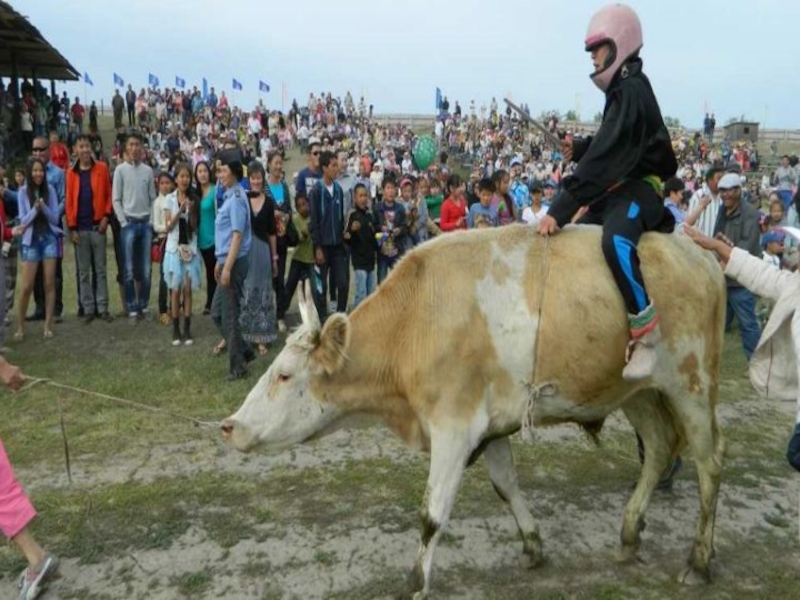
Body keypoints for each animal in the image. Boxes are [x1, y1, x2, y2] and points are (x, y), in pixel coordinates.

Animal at [221, 225, 726, 598]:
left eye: (284, 375)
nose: (229, 426)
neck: (414, 321)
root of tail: (698, 255)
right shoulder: (491, 426)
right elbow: (506, 485)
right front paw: (532, 546)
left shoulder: (454, 427)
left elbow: (432, 512)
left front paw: (415, 582)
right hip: (639, 392)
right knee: (658, 447)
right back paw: (629, 534)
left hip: (692, 385)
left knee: (709, 464)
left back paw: (698, 560)